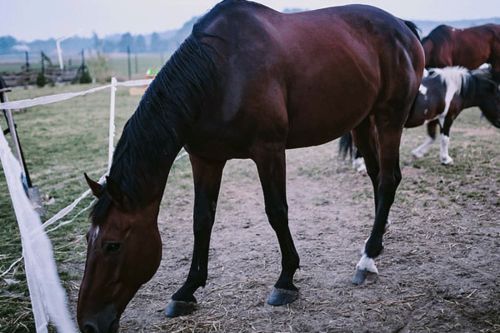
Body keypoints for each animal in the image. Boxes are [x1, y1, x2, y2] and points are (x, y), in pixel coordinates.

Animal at [76, 1, 424, 330]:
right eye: (87, 240)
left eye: (112, 245)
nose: (89, 323)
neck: (221, 73)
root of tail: (402, 28)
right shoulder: (206, 159)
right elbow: (202, 220)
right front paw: (187, 290)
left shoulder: (269, 151)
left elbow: (277, 211)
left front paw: (285, 281)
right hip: (363, 122)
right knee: (377, 176)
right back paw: (375, 243)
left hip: (389, 119)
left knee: (389, 179)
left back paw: (366, 259)